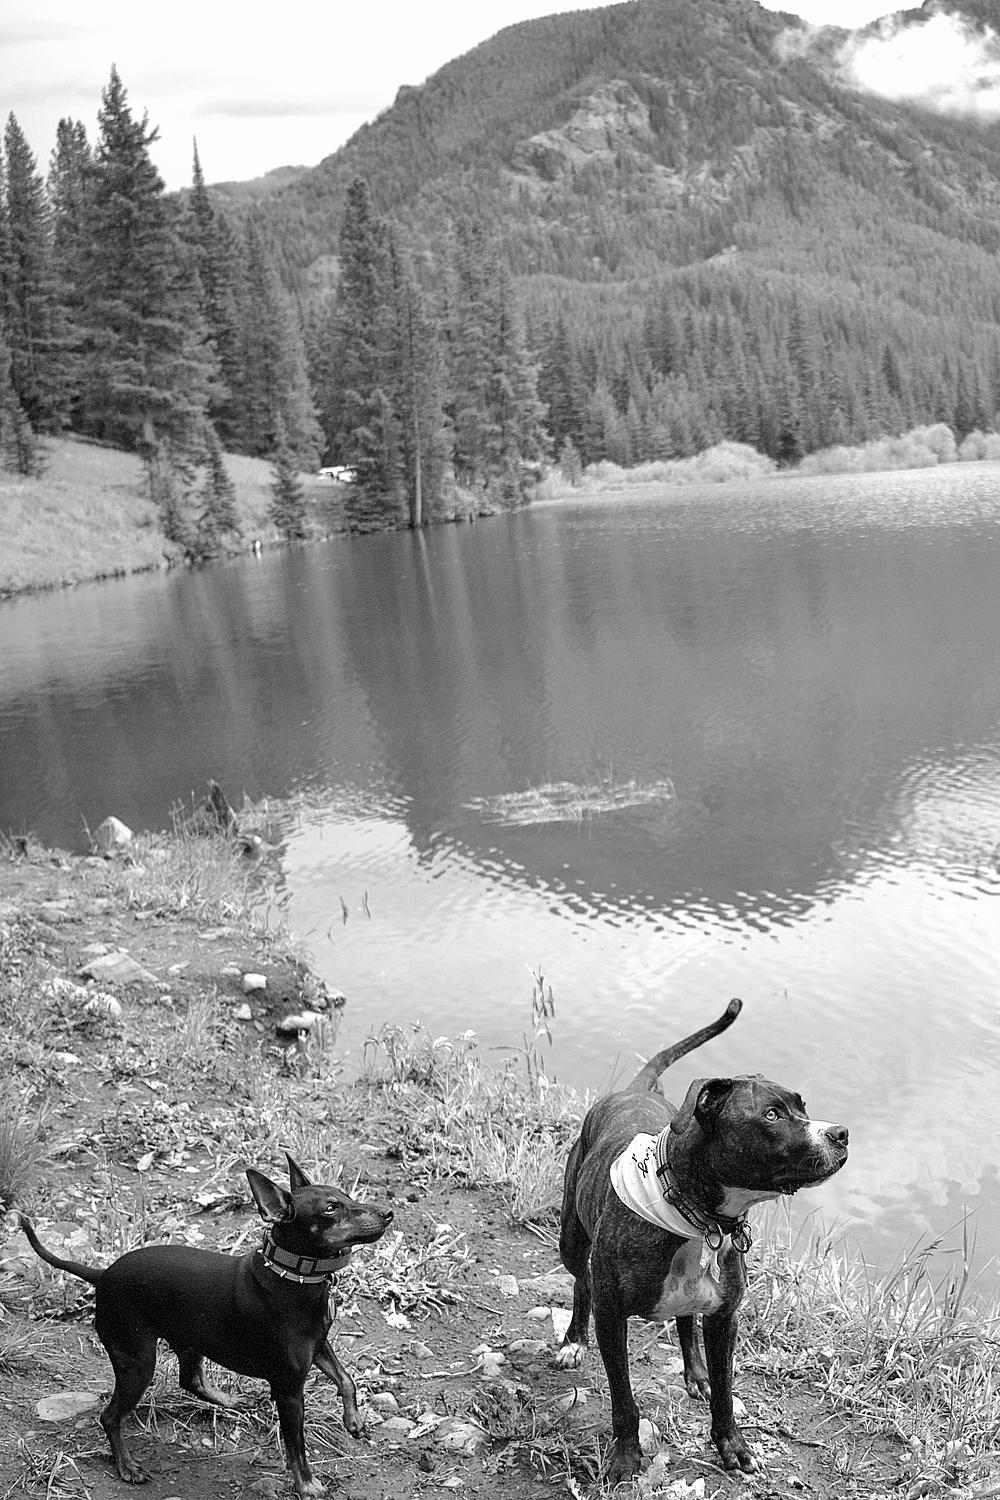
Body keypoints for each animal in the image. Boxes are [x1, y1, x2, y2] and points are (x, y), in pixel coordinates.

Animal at [20, 1154, 392, 1496]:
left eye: (347, 1196)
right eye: (330, 1209)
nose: (387, 1213)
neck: (295, 1275)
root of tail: (102, 1274)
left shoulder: (319, 1346)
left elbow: (347, 1379)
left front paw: (354, 1420)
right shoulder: (289, 1389)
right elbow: (296, 1447)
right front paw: (307, 1485)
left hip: (189, 1341)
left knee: (191, 1380)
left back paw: (231, 1401)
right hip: (138, 1362)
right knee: (111, 1417)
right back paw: (127, 1466)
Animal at [556, 998, 848, 1482]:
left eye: (802, 1107)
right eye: (772, 1115)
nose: (841, 1133)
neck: (700, 1219)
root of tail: (633, 1090)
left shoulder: (725, 1317)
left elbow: (726, 1391)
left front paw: (732, 1445)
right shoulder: (612, 1318)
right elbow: (624, 1402)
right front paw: (625, 1457)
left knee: (685, 1320)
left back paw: (696, 1373)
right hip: (573, 1243)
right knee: (582, 1282)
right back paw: (573, 1341)